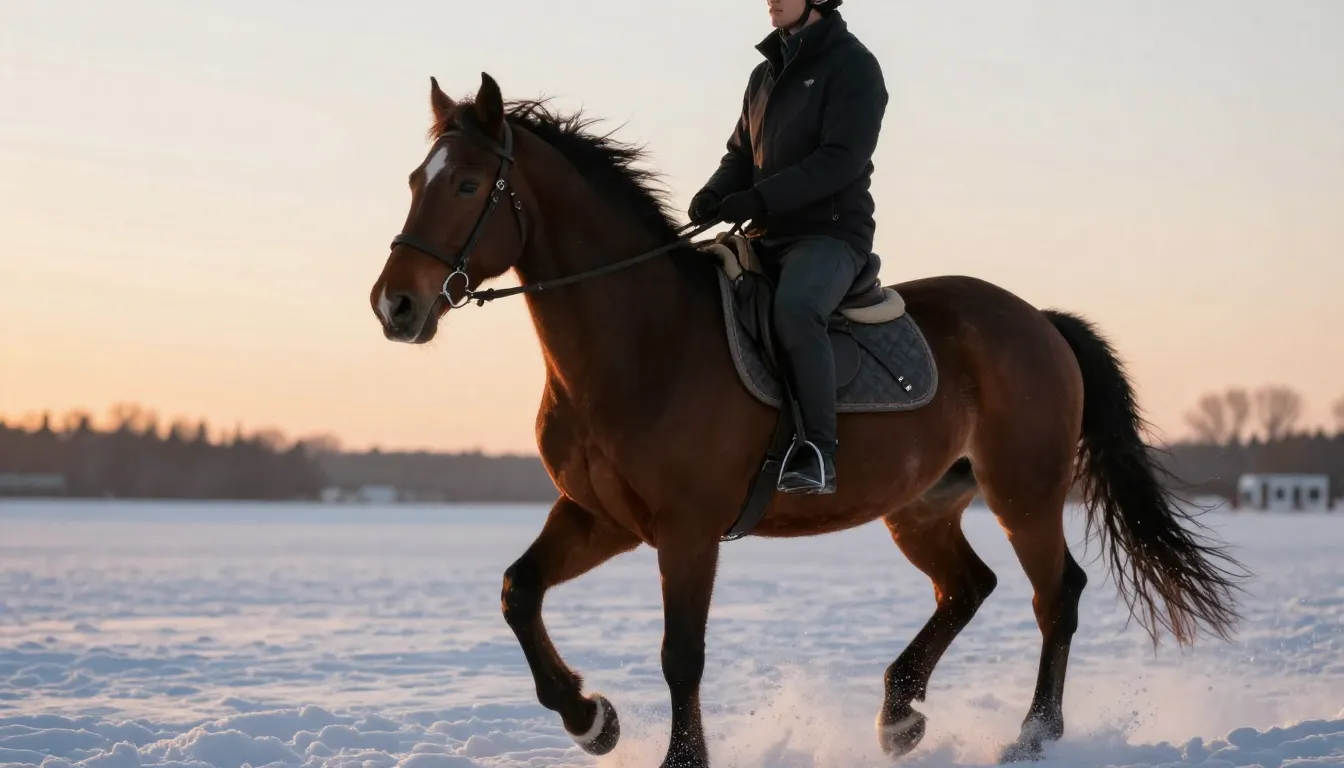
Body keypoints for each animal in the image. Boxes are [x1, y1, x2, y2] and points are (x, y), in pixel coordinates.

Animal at [367, 72, 1246, 767]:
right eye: (414, 179)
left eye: (468, 187)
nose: (394, 305)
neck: (642, 341)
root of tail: (1039, 320)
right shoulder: (601, 517)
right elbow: (518, 592)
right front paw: (593, 721)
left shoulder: (686, 531)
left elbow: (681, 654)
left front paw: (678, 758)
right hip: (922, 506)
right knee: (970, 585)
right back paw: (898, 716)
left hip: (1024, 494)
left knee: (1054, 594)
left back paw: (1031, 736)